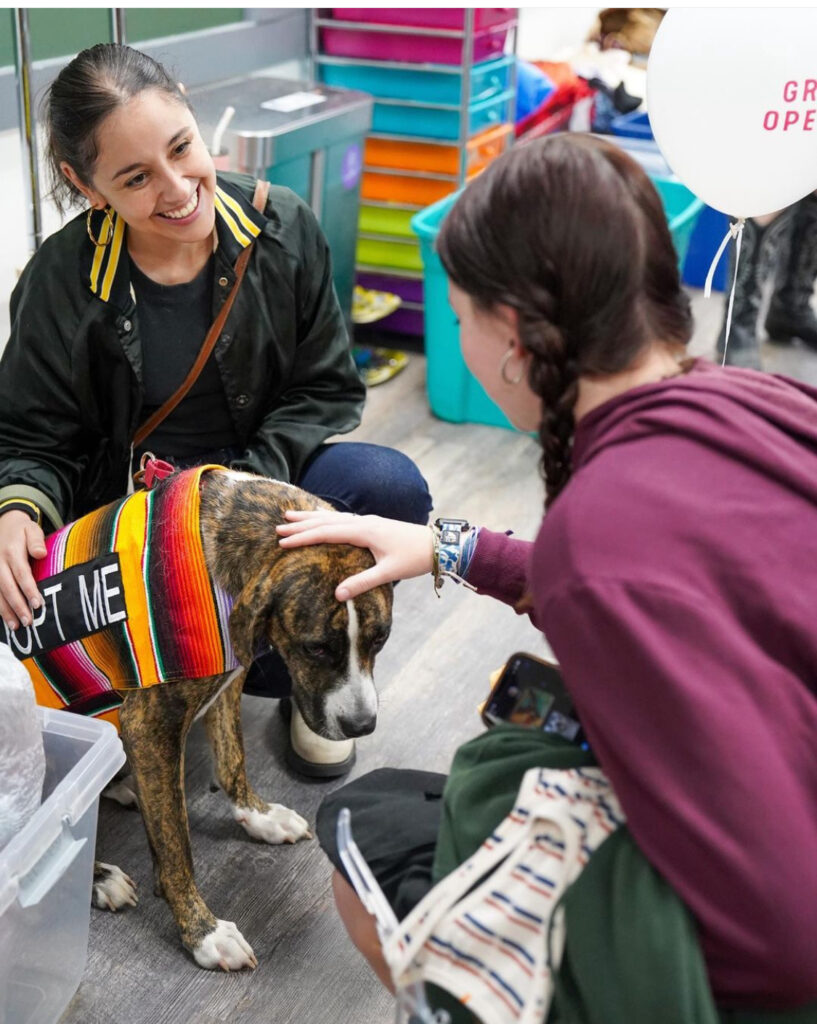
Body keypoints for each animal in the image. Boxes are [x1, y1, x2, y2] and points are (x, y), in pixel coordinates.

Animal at [92, 468, 393, 966]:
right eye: (315, 648)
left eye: (381, 639)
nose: (362, 726)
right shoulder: (149, 726)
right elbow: (177, 847)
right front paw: (204, 932)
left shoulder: (229, 679)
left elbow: (233, 759)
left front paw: (259, 816)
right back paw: (99, 878)